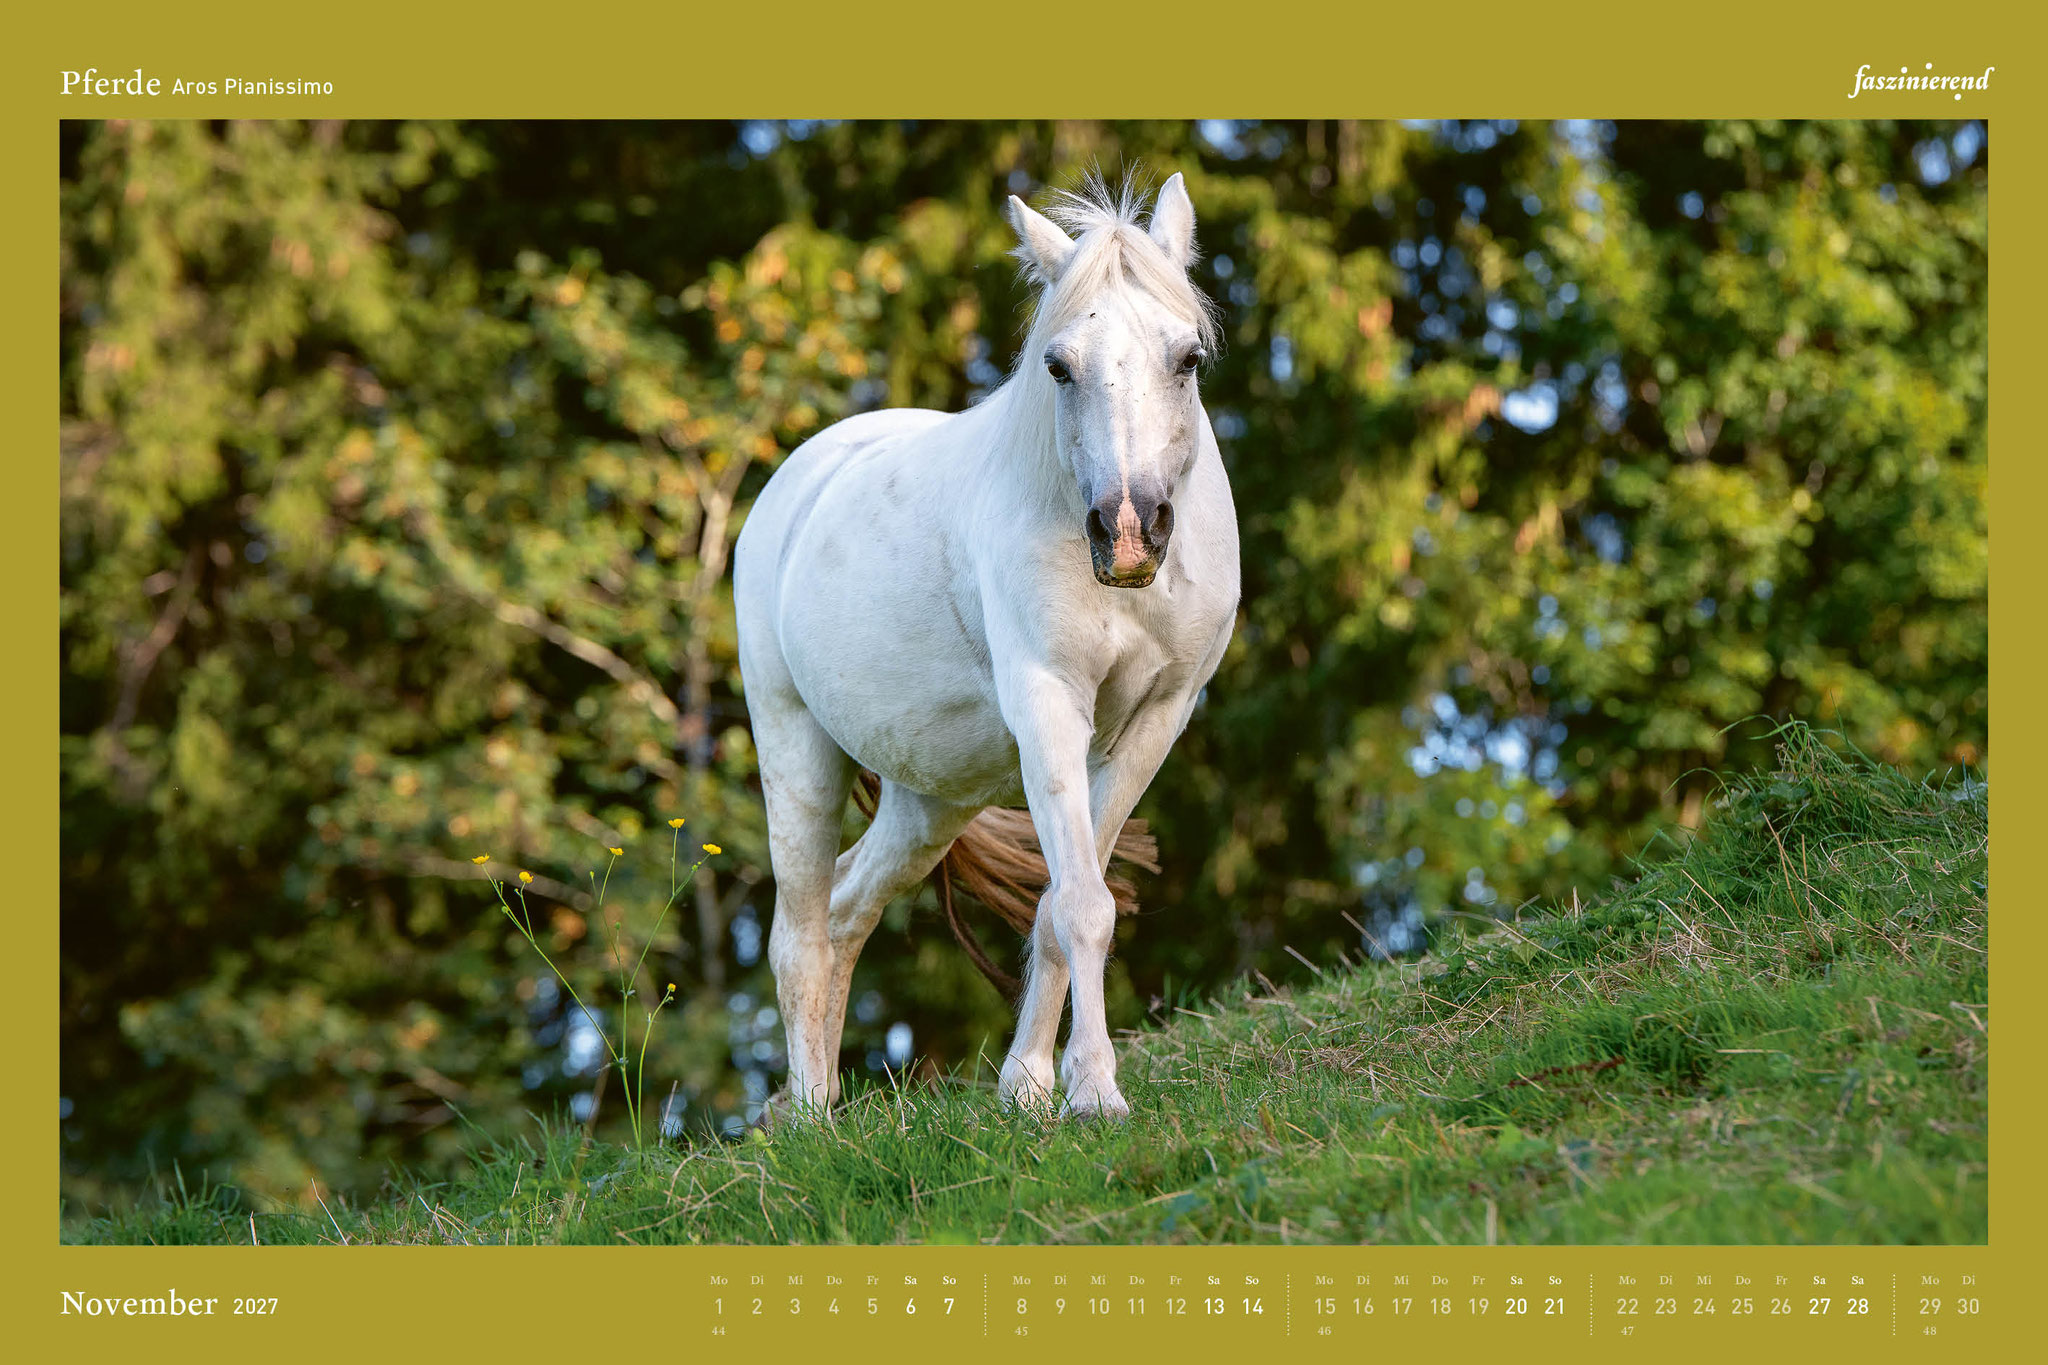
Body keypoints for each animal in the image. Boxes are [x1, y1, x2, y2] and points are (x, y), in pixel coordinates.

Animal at [732, 172, 1239, 1122]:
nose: (1127, 533)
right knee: (798, 932)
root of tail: (798, 480)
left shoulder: (1159, 718)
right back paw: (809, 1119)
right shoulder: (1049, 706)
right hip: (794, 748)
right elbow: (1083, 904)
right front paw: (1096, 1092)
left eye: (1187, 357)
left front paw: (1031, 1085)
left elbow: (1062, 903)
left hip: (930, 797)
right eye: (1058, 366)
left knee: (847, 908)